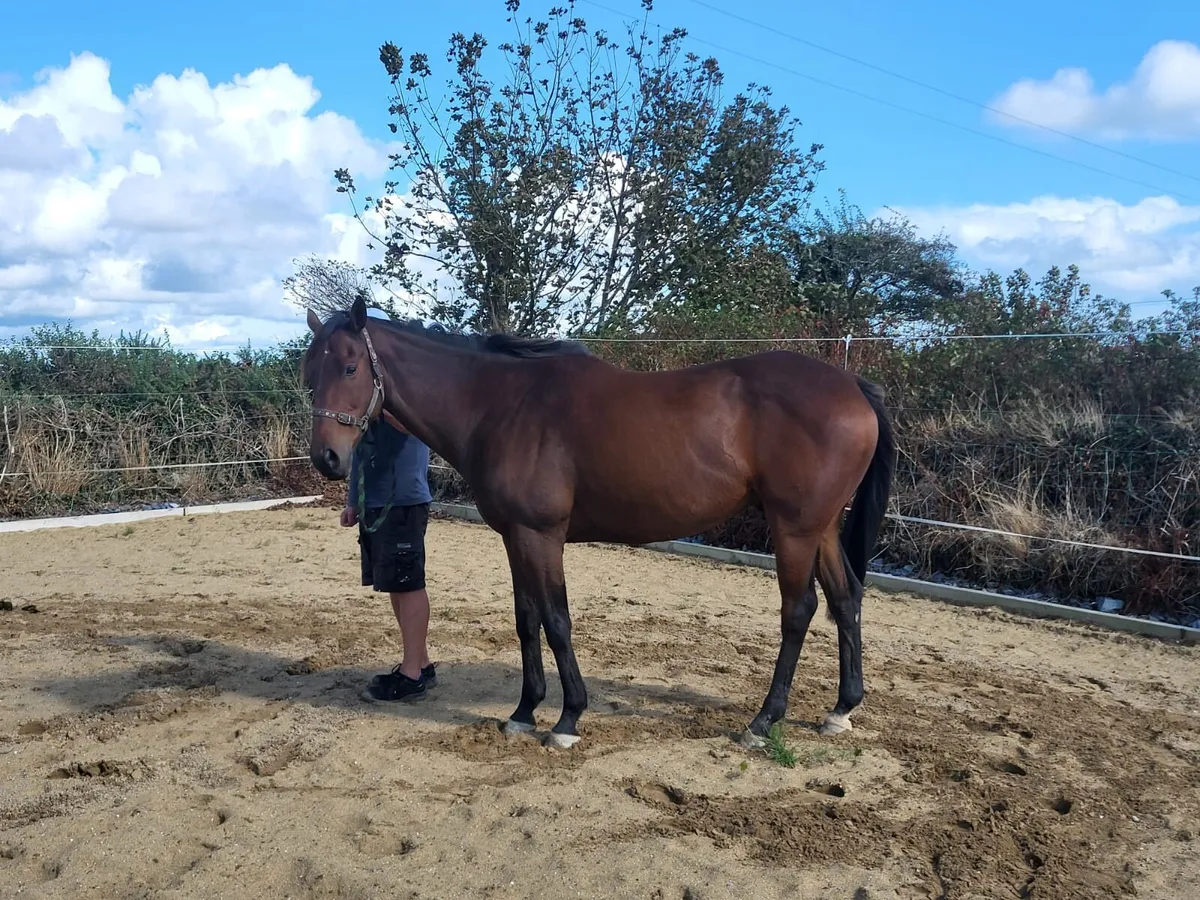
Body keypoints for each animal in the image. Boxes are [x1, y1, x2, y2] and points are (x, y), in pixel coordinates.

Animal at [302, 295, 895, 750]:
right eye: (312, 375)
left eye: (350, 367)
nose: (327, 459)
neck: (501, 405)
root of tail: (851, 385)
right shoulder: (515, 538)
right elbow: (526, 620)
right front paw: (523, 712)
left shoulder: (542, 536)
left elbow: (557, 621)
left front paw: (567, 720)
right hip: (820, 528)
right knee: (846, 599)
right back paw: (841, 709)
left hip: (794, 529)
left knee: (799, 611)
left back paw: (763, 721)